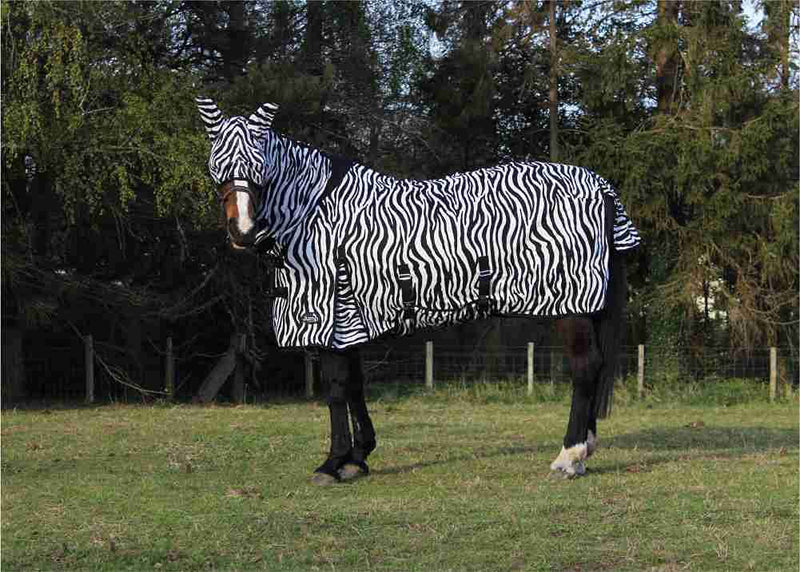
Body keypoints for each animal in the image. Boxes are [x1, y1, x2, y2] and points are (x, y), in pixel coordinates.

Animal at [197, 98, 641, 483]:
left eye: (260, 166)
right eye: (217, 164)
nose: (243, 231)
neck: (318, 213)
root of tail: (600, 187)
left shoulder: (329, 318)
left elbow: (336, 389)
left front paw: (332, 463)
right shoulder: (350, 320)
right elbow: (355, 386)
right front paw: (358, 457)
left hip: (572, 307)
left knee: (585, 368)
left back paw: (570, 455)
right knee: (595, 367)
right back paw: (585, 451)